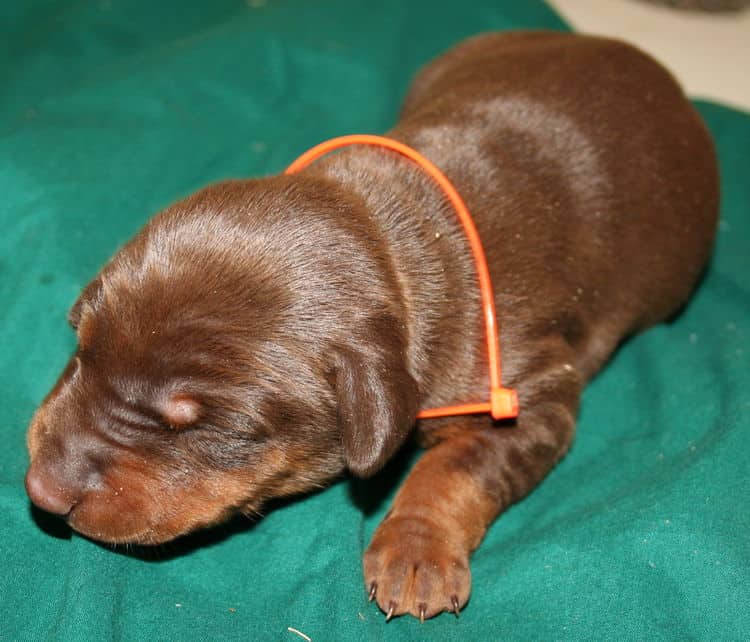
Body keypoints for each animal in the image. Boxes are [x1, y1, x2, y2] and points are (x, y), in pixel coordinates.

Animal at [25, 31, 716, 620]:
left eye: (218, 429)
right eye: (81, 346)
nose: (42, 490)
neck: (400, 234)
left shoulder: (534, 395)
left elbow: (457, 466)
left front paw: (416, 552)